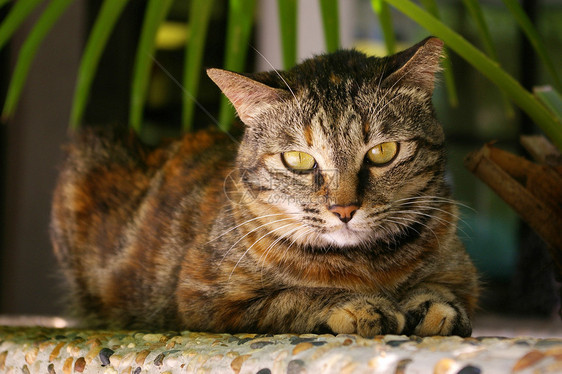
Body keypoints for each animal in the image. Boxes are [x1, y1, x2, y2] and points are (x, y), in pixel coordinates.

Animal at [50, 36, 476, 338]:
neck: (367, 264)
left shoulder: (461, 275)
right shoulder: (203, 300)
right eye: (298, 160)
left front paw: (434, 304)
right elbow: (292, 297)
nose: (344, 210)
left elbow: (447, 291)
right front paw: (359, 304)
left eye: (383, 152)